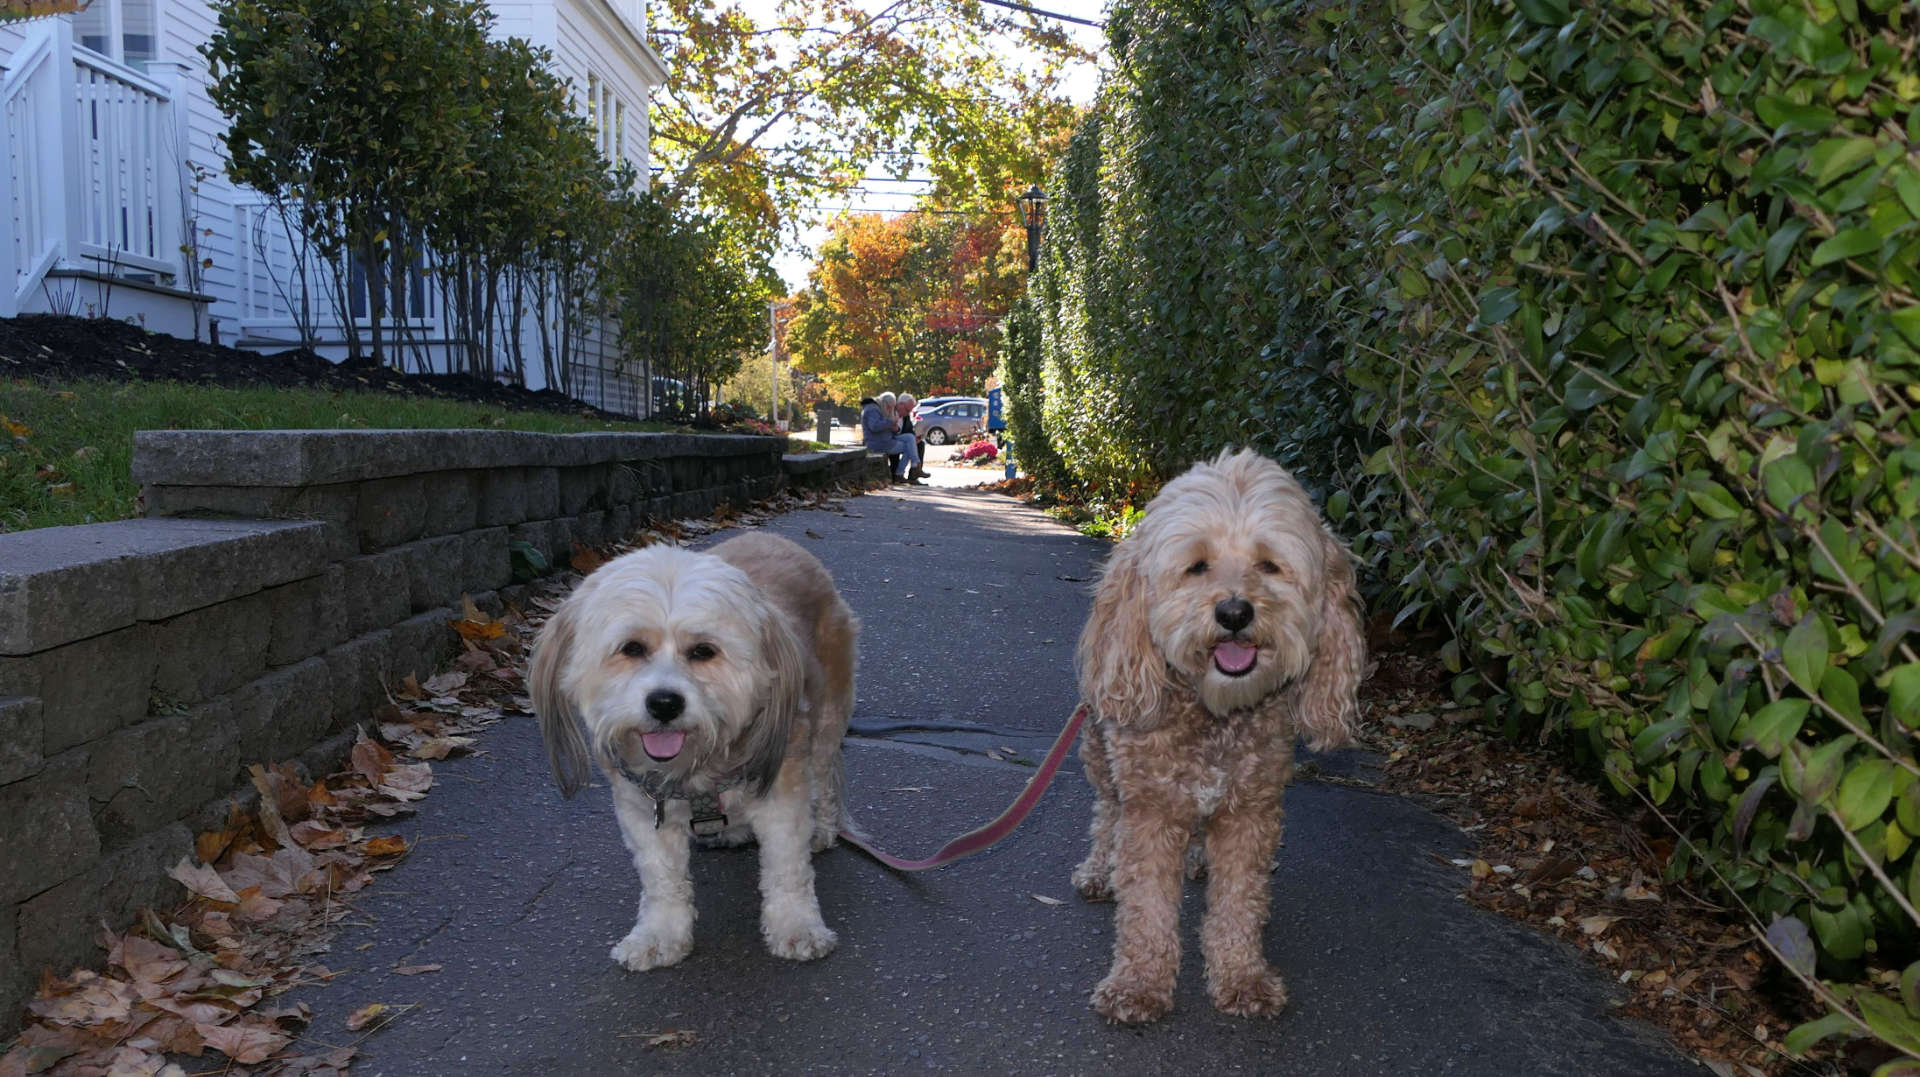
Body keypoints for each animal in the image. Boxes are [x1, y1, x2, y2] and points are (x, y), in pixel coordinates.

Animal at [526, 533, 856, 971]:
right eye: (631, 648)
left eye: (703, 651)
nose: (664, 703)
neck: (700, 766)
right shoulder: (642, 807)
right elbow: (662, 877)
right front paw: (660, 934)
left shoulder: (781, 791)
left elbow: (787, 868)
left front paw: (796, 926)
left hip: (828, 711)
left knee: (827, 770)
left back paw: (823, 826)